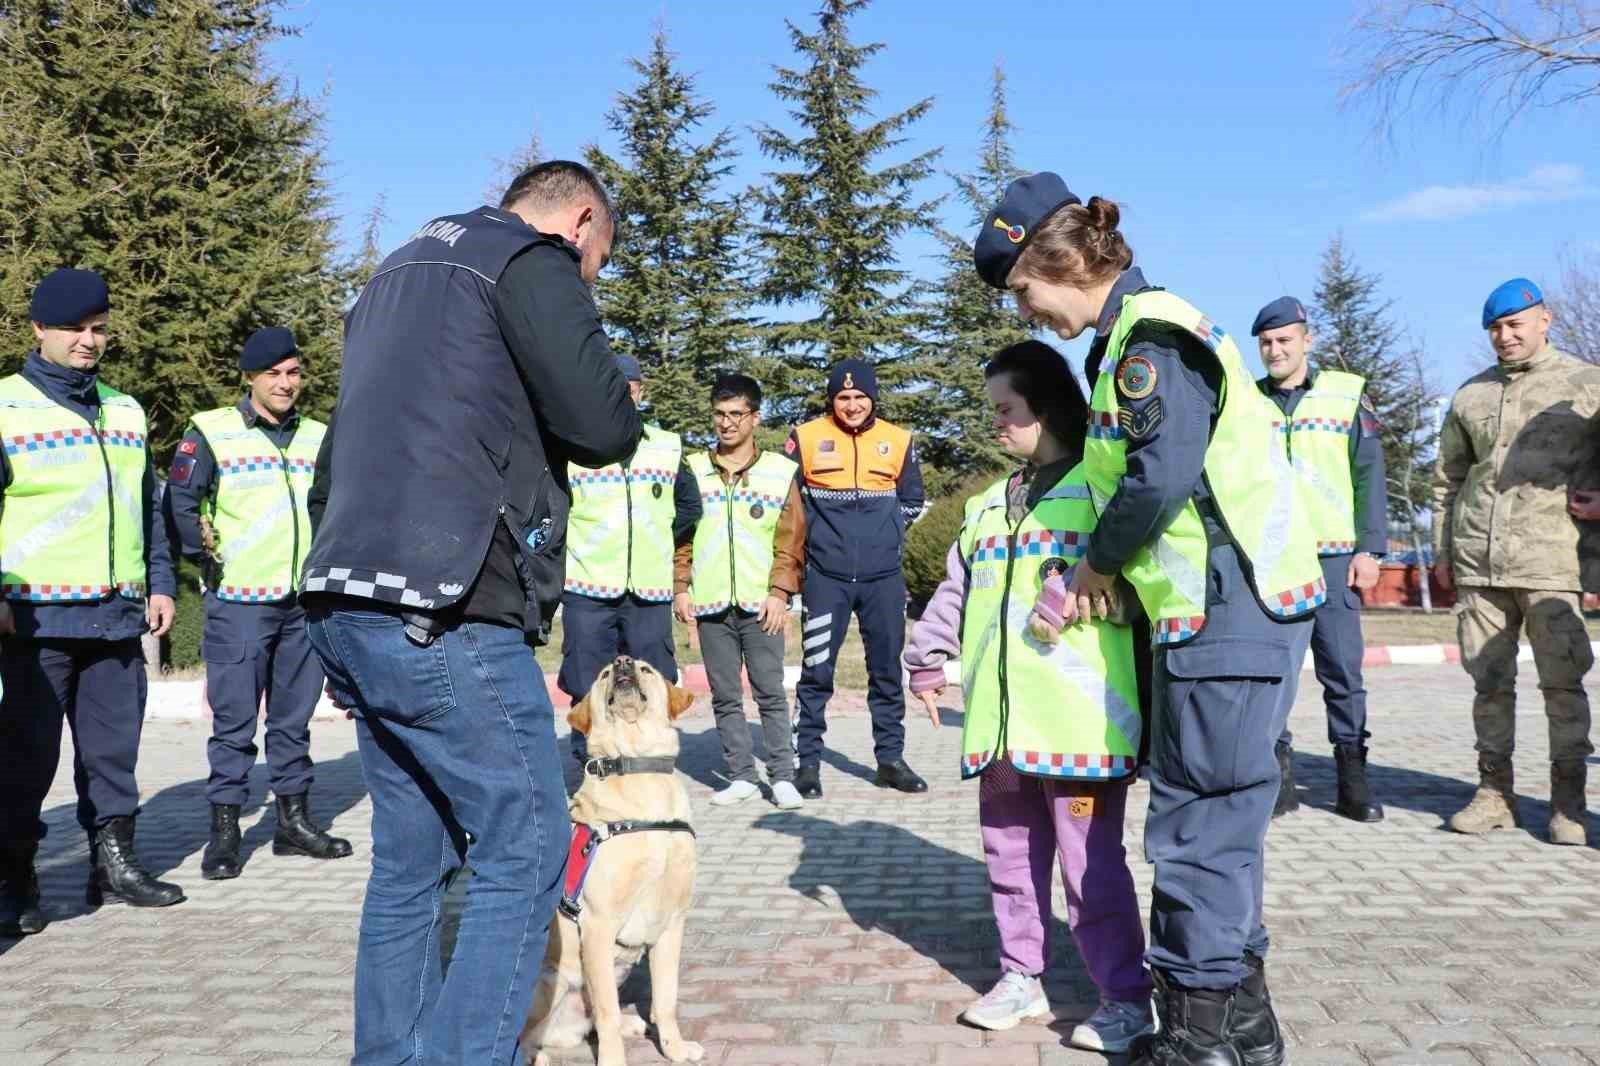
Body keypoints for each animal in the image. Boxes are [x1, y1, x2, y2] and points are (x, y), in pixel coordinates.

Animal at [521, 653, 704, 1062]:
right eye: (604, 673)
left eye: (646, 669)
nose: (622, 661)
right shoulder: (598, 927)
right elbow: (605, 1013)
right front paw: (613, 1060)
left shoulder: (672, 922)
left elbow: (666, 999)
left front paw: (674, 1048)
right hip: (548, 981)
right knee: (526, 1034)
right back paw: (534, 1056)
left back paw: (630, 1023)